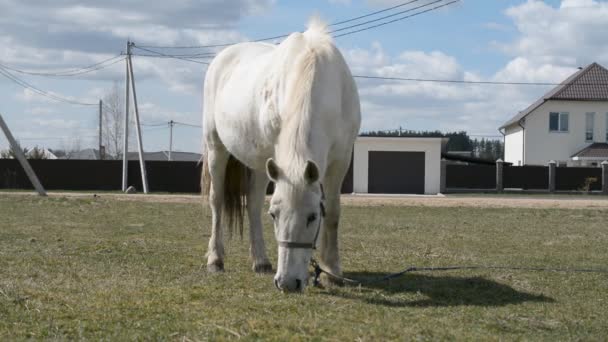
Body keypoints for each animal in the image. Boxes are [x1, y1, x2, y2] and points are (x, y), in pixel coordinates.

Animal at [202, 18, 358, 292]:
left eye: (312, 216)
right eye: (274, 215)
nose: (287, 283)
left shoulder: (341, 160)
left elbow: (334, 213)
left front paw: (331, 271)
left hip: (259, 164)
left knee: (253, 203)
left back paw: (261, 261)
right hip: (216, 148)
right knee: (217, 200)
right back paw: (215, 259)